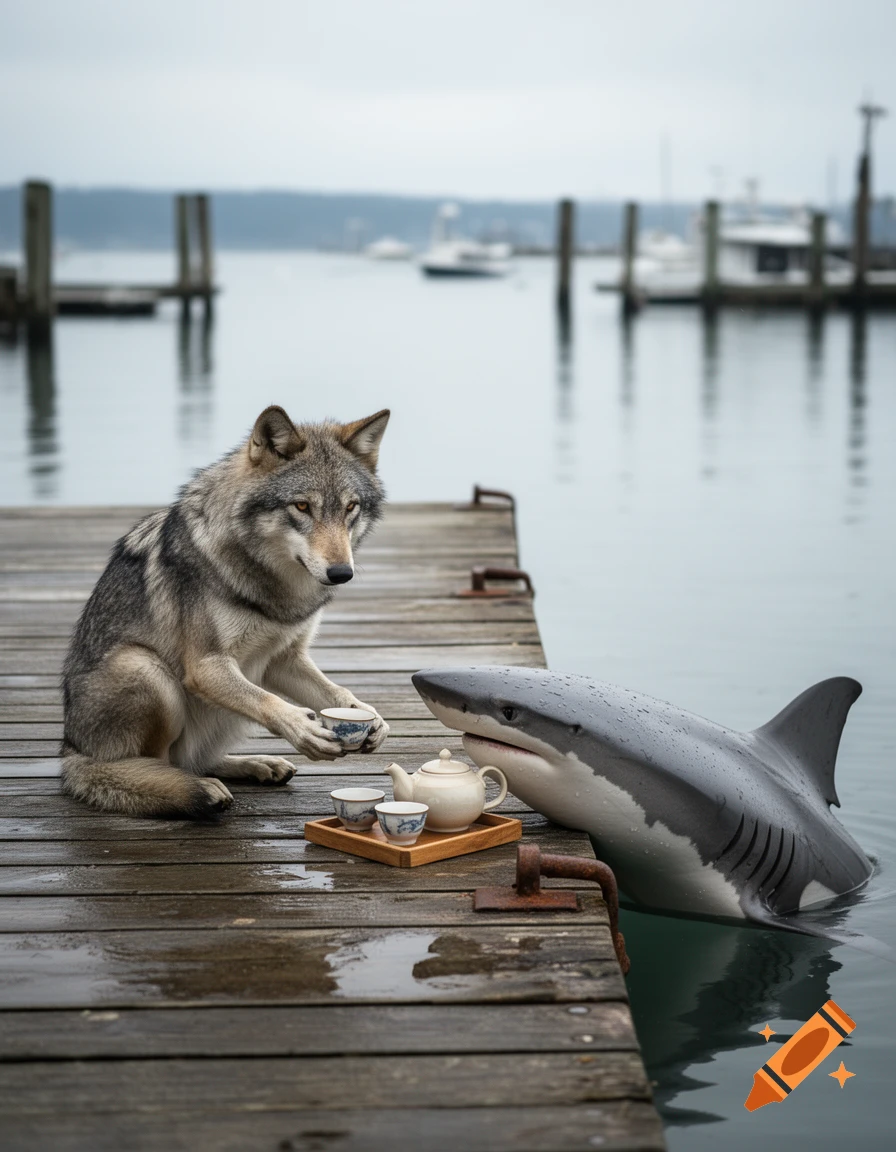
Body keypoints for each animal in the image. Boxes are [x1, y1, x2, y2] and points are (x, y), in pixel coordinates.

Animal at [61, 405, 391, 819]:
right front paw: (302, 727)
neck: (276, 586)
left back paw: (255, 764)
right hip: (147, 670)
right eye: (302, 506)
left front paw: (366, 715)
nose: (341, 573)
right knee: (161, 765)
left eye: (350, 507)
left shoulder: (284, 659)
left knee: (194, 759)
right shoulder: (207, 667)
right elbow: (269, 702)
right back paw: (197, 787)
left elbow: (336, 691)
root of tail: (72, 750)